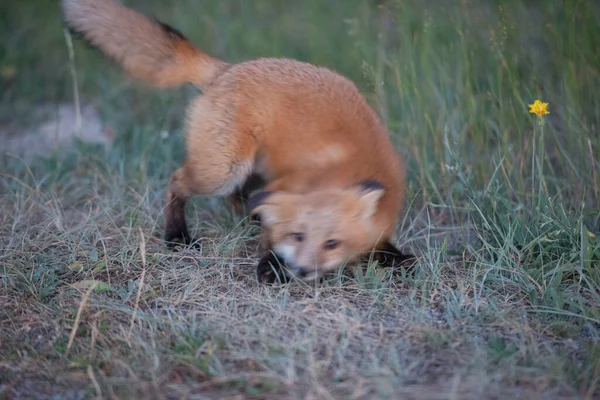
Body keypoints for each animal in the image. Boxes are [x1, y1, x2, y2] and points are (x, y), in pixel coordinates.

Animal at [63, 0, 414, 282]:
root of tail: (228, 69)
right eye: (298, 236)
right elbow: (270, 233)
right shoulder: (281, 190)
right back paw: (177, 235)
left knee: (238, 198)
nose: (301, 270)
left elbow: (387, 248)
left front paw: (395, 258)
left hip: (243, 169)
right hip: (222, 170)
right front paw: (270, 266)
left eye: (332, 243)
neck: (350, 167)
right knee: (178, 181)